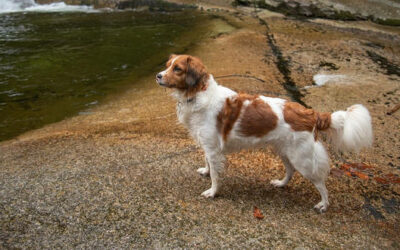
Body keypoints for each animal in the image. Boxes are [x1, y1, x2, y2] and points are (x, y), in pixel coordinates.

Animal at [155, 54, 372, 211]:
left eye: (177, 69)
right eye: (167, 65)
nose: (158, 75)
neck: (197, 93)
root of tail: (311, 113)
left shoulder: (213, 149)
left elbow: (216, 175)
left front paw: (212, 192)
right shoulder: (208, 147)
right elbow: (208, 163)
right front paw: (206, 172)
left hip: (302, 159)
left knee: (320, 182)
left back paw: (324, 204)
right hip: (284, 151)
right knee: (290, 171)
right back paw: (281, 183)